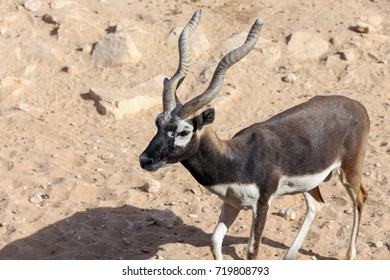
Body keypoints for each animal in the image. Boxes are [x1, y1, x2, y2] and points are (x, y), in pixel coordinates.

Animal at [139, 10, 370, 260]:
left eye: (184, 131)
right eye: (157, 122)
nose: (145, 159)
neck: (236, 160)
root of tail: (357, 105)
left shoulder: (262, 204)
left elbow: (251, 251)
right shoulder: (231, 203)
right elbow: (214, 241)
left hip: (349, 171)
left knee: (360, 198)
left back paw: (350, 255)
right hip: (311, 183)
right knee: (316, 206)